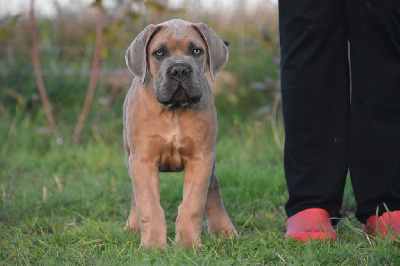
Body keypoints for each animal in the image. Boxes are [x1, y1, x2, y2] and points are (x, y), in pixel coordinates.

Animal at [123, 18, 236, 249]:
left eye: (196, 51)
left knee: (213, 189)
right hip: (130, 157)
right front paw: (153, 246)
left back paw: (224, 229)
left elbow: (192, 205)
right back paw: (133, 227)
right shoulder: (143, 161)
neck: (174, 110)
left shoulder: (200, 160)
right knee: (135, 196)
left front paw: (189, 245)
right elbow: (149, 206)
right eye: (159, 53)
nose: (180, 70)